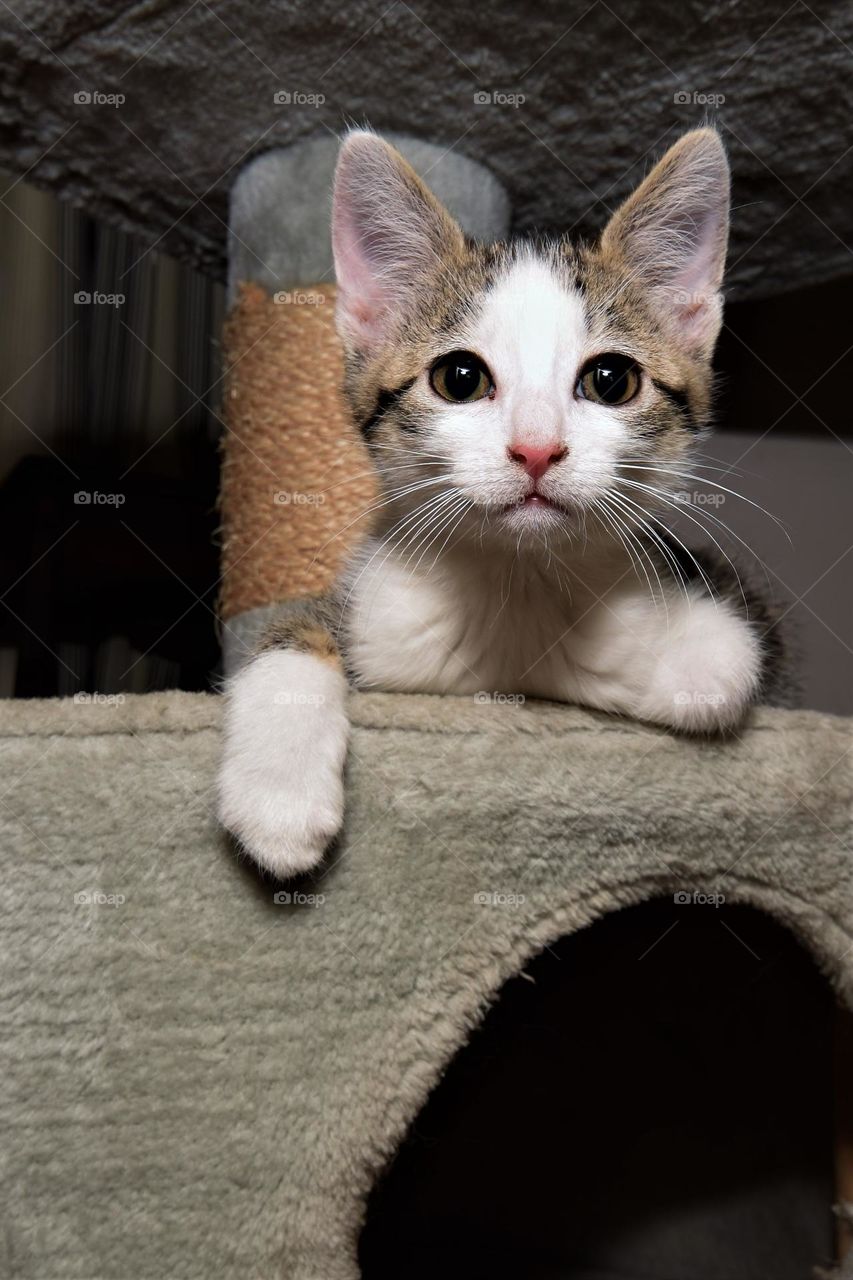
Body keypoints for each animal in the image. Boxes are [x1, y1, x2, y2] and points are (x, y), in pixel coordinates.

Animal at [217, 127, 783, 880]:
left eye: (611, 379)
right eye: (458, 377)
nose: (536, 449)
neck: (518, 578)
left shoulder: (728, 615)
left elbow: (720, 668)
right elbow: (290, 632)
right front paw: (278, 793)